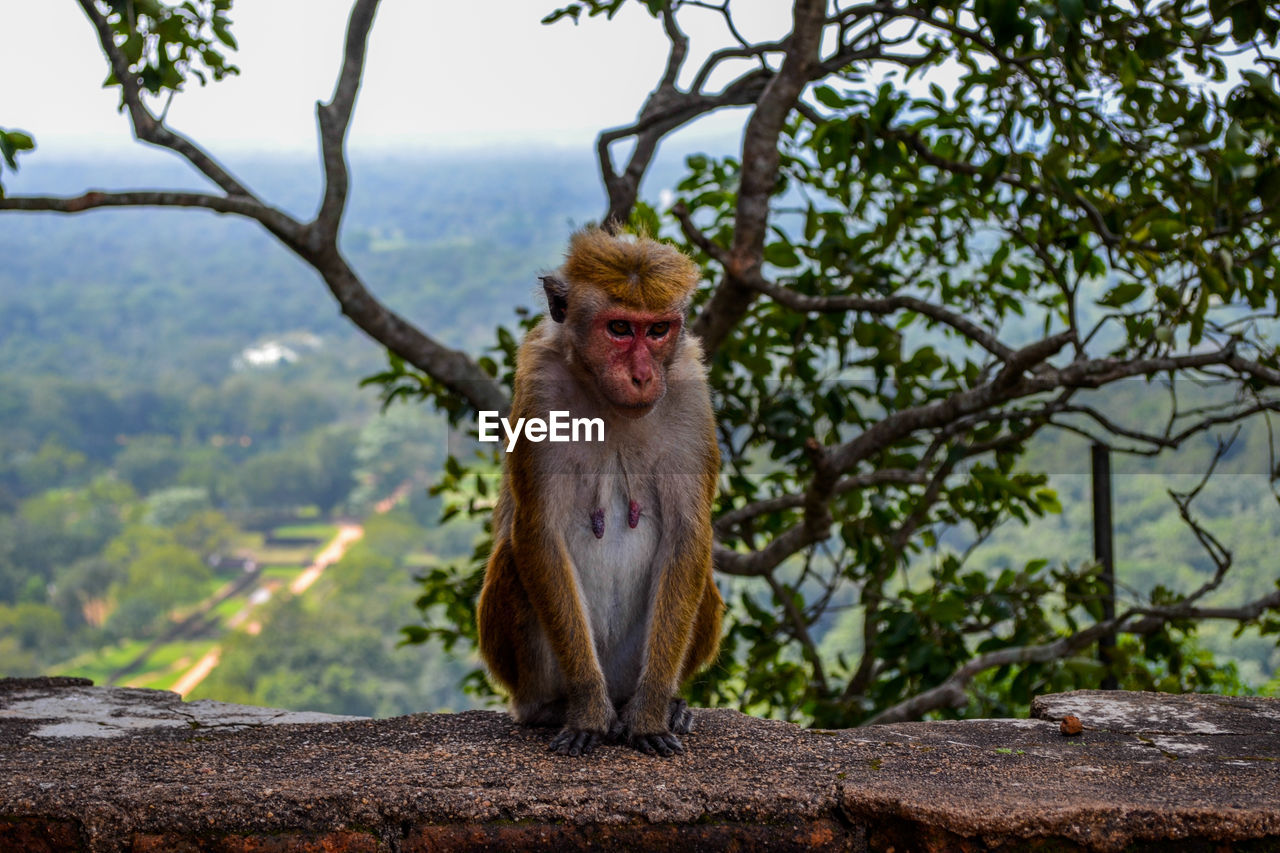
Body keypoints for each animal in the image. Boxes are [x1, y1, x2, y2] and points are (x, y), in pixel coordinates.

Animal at [478, 225, 727, 758]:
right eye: (619, 329)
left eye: (657, 330)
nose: (643, 376)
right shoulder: (540, 387)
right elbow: (538, 531)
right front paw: (588, 710)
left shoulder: (690, 389)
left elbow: (687, 533)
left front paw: (652, 712)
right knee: (512, 558)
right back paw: (554, 709)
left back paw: (667, 704)